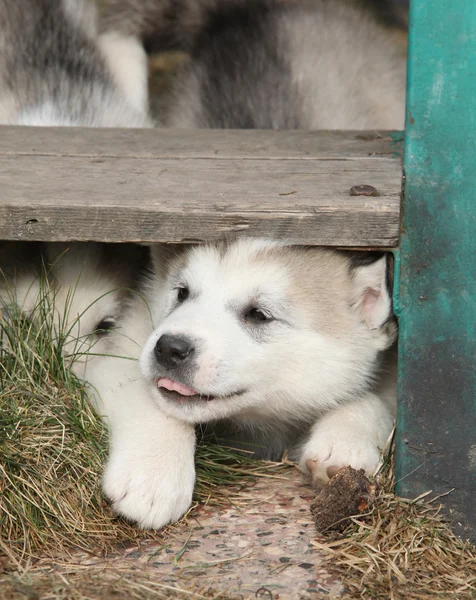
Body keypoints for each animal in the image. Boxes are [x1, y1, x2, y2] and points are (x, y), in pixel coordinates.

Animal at [83, 239, 396, 528]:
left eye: (259, 314)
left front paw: (345, 445)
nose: (169, 348)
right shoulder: (117, 354)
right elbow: (151, 401)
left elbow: (378, 402)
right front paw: (152, 475)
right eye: (182, 293)